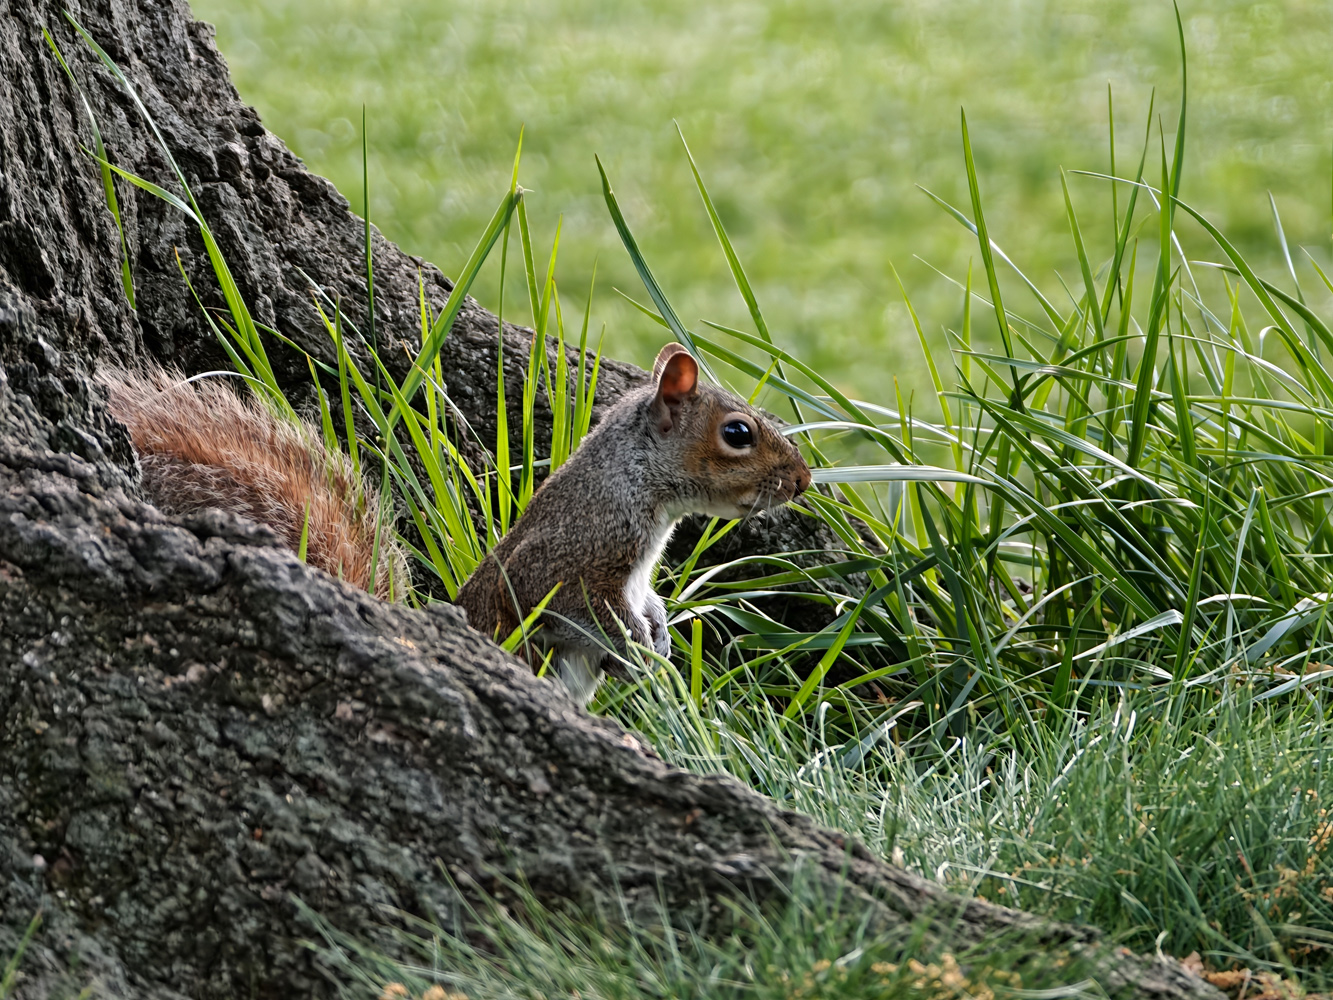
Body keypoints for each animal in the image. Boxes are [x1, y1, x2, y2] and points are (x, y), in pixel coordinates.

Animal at [456, 342, 812, 704]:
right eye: (737, 433)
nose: (804, 479)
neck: (638, 484)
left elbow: (650, 602)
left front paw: (661, 634)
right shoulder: (566, 554)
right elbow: (554, 598)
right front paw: (637, 648)